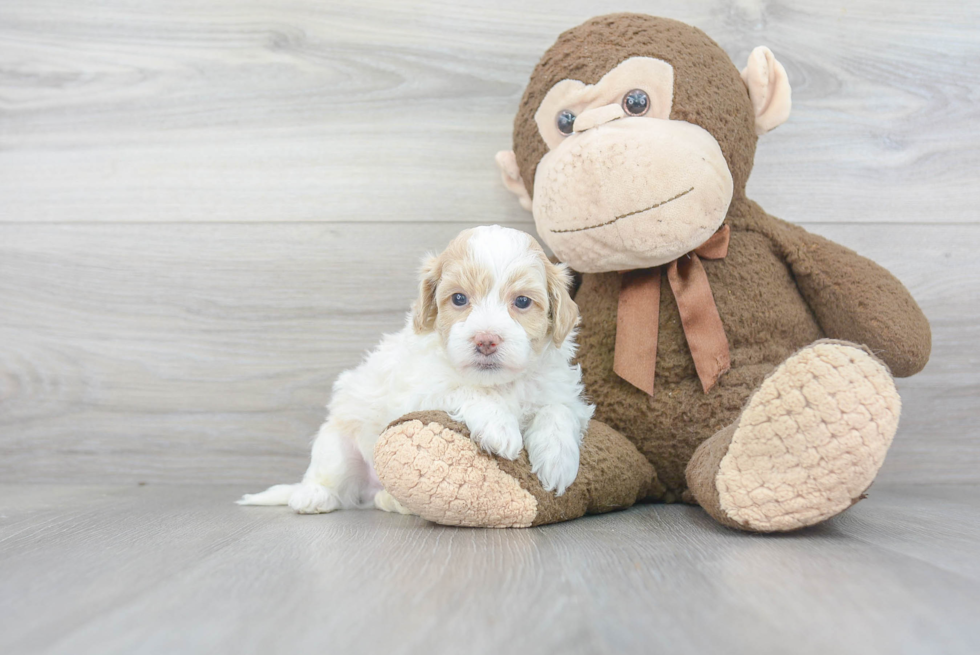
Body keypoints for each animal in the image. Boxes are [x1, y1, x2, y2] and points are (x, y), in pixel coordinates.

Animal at [241, 228, 592, 516]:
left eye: (522, 302)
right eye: (459, 298)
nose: (486, 340)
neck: (498, 383)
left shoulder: (561, 390)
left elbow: (558, 410)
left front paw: (558, 462)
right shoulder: (420, 390)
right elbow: (466, 390)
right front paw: (499, 427)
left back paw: (391, 501)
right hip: (337, 442)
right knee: (328, 474)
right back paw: (313, 495)